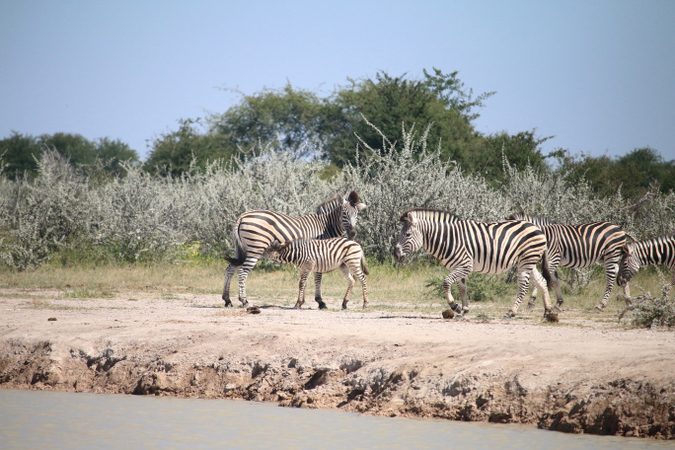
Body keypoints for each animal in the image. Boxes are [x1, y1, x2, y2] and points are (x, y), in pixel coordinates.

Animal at [224, 192, 368, 308]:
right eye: (344, 213)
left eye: (357, 214)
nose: (353, 233)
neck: (325, 226)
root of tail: (242, 216)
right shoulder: (319, 251)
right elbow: (318, 277)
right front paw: (320, 302)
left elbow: (308, 279)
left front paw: (306, 301)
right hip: (255, 248)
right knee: (243, 272)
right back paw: (244, 301)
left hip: (241, 249)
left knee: (230, 269)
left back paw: (227, 300)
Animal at [390, 208, 556, 320]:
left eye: (407, 234)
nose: (395, 254)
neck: (448, 238)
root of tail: (537, 228)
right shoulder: (457, 266)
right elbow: (462, 289)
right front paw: (464, 311)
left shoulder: (465, 265)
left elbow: (445, 283)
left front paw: (455, 307)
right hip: (528, 262)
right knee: (541, 282)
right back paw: (547, 313)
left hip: (526, 261)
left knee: (523, 286)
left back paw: (511, 313)